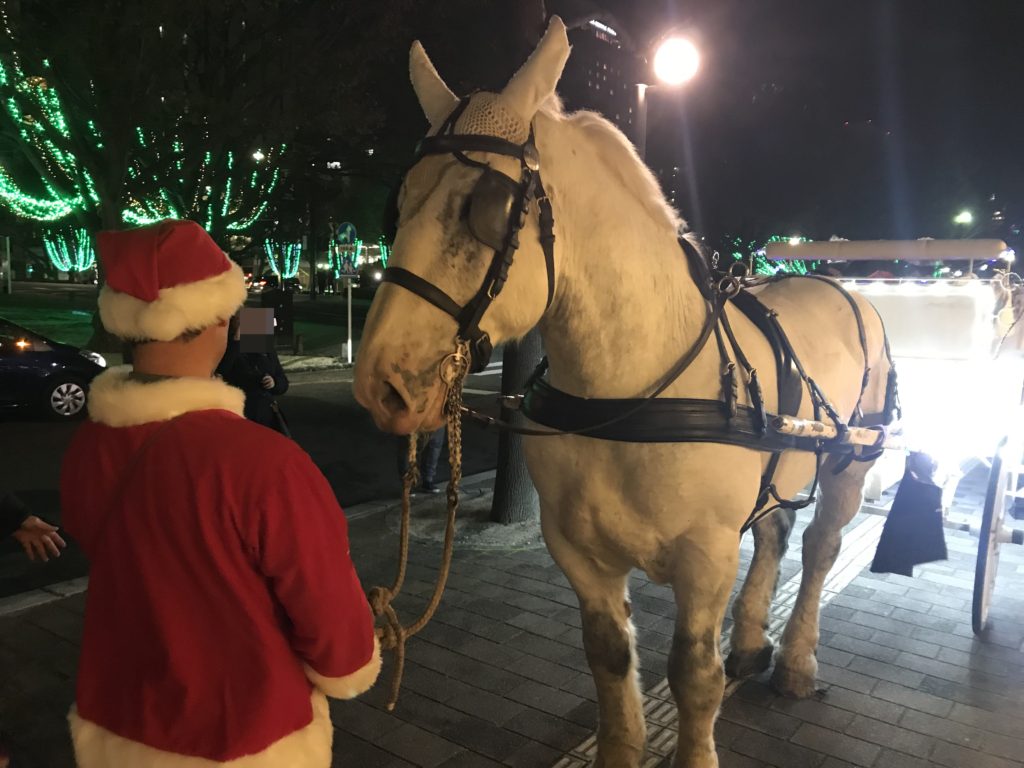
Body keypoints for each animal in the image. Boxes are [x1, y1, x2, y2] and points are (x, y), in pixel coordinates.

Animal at [354, 17, 893, 768]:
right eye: (397, 205)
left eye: (486, 208)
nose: (382, 384)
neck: (629, 392)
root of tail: (840, 285)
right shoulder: (578, 551)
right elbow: (609, 655)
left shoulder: (705, 555)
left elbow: (693, 676)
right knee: (775, 532)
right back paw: (753, 642)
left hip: (850, 459)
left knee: (819, 549)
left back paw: (794, 662)